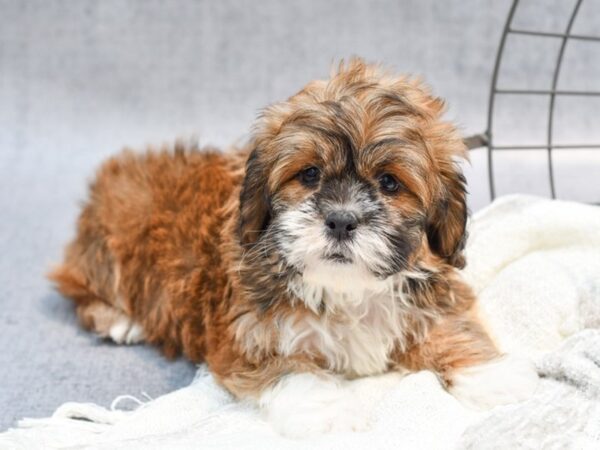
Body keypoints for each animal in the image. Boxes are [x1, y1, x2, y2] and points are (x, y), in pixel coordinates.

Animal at [50, 59, 540, 436]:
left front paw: (493, 376)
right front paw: (329, 411)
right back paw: (120, 319)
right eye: (309, 174)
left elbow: (452, 329)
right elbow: (293, 368)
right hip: (107, 252)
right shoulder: (247, 333)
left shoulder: (431, 296)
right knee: (78, 288)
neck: (346, 289)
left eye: (389, 182)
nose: (341, 219)